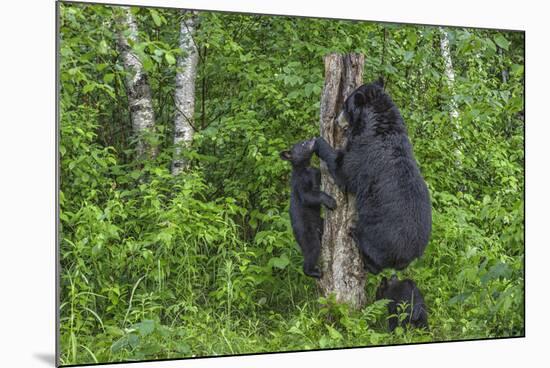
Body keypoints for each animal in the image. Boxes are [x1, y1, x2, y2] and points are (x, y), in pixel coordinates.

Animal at [282, 139, 338, 278]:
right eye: (302, 144)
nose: (312, 139)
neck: (304, 167)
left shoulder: (315, 172)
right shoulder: (300, 182)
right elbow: (308, 196)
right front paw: (331, 201)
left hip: (319, 223)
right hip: (306, 232)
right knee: (313, 249)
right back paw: (314, 272)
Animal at [314, 77, 432, 274]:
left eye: (345, 106)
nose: (337, 120)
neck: (379, 124)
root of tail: (410, 257)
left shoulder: (364, 152)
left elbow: (344, 170)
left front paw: (316, 142)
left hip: (377, 235)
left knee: (374, 257)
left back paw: (355, 235)